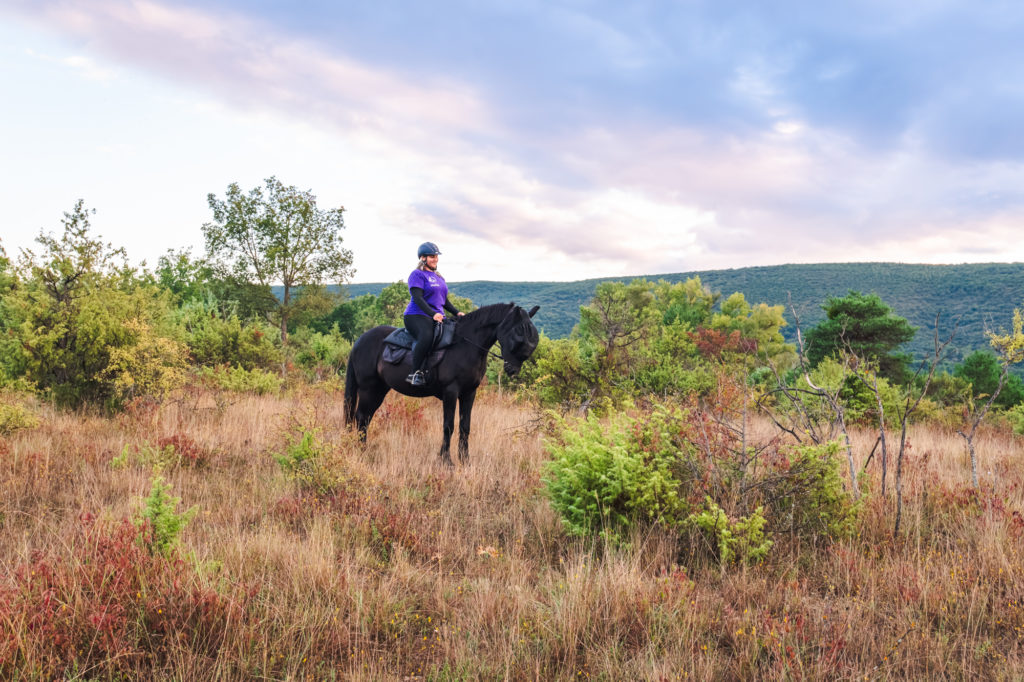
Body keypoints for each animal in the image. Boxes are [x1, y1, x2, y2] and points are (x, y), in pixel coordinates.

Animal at [344, 301, 540, 462]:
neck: (465, 345)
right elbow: (448, 426)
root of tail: (360, 340)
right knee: (361, 417)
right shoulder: (450, 392)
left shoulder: (469, 393)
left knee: (365, 418)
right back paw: (361, 452)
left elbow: (465, 427)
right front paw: (446, 460)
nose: (512, 370)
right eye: (518, 335)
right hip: (368, 389)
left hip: (379, 390)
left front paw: (465, 460)